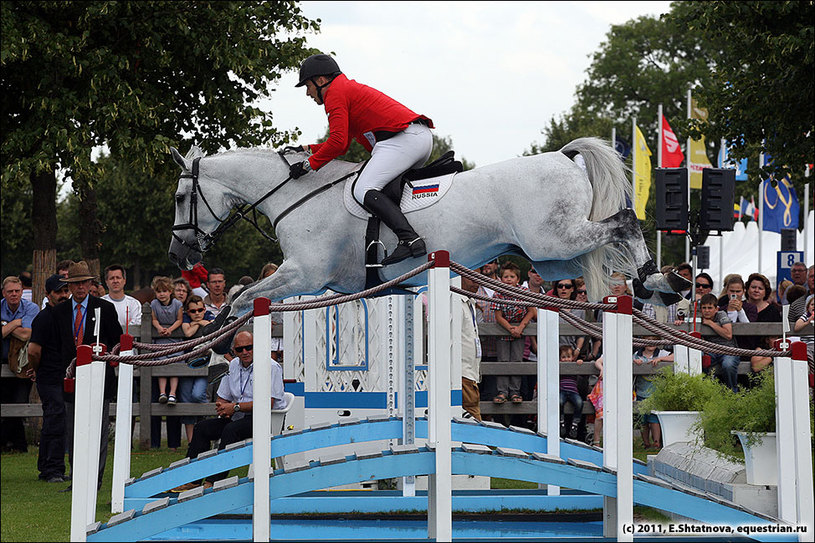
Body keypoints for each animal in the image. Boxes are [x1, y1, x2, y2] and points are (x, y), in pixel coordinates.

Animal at [167, 138, 688, 320]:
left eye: (178, 199)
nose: (178, 255)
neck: (295, 194)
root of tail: (563, 156)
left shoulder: (304, 274)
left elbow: (241, 296)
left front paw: (210, 335)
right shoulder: (320, 283)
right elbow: (247, 295)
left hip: (553, 238)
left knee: (624, 224)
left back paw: (661, 282)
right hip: (550, 255)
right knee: (611, 257)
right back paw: (660, 287)